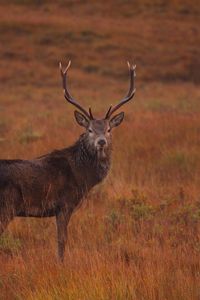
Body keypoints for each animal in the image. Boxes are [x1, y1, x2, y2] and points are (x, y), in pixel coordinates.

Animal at [0, 60, 136, 260]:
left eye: (109, 129)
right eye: (89, 130)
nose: (101, 141)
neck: (83, 177)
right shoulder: (64, 203)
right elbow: (62, 240)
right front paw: (60, 263)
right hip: (6, 206)